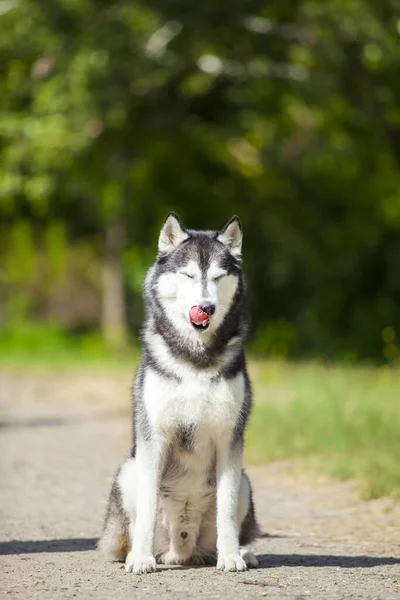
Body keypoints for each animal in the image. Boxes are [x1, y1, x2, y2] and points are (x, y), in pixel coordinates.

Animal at [97, 213, 260, 576]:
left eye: (218, 277)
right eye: (187, 275)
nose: (206, 308)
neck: (195, 358)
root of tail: (181, 551)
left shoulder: (230, 439)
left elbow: (226, 510)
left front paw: (231, 556)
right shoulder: (153, 438)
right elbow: (147, 508)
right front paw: (140, 559)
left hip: (245, 479)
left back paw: (243, 552)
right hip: (128, 471)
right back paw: (139, 553)